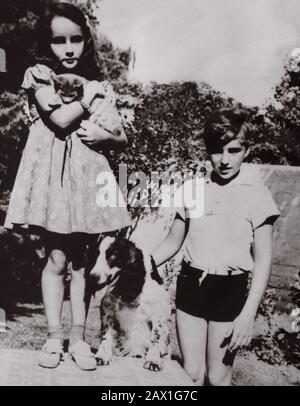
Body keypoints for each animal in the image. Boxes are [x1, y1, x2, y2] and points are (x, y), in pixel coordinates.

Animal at [88, 235, 171, 372]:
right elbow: (106, 334)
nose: (92, 278)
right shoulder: (107, 307)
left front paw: (153, 360)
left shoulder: (159, 310)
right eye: (95, 254)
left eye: (113, 255)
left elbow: (156, 337)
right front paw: (102, 355)